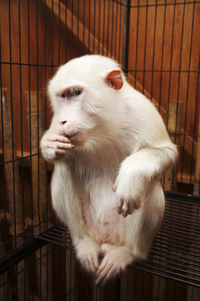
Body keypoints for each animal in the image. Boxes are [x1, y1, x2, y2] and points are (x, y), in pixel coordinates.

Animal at [39, 54, 177, 284]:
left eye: (75, 93)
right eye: (61, 96)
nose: (63, 120)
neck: (103, 127)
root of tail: (105, 238)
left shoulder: (143, 111)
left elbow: (165, 152)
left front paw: (131, 176)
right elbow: (56, 151)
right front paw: (49, 144)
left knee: (148, 184)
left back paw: (128, 252)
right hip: (88, 226)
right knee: (64, 166)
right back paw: (84, 244)